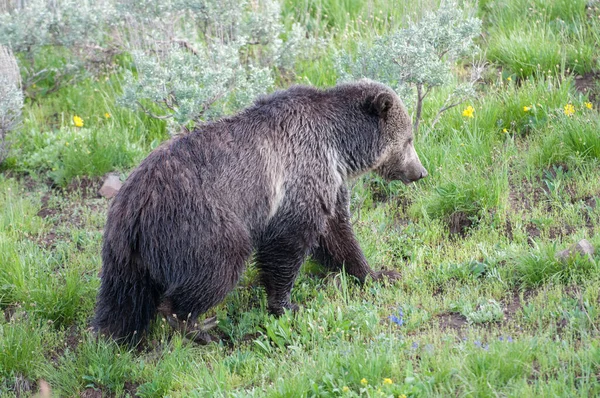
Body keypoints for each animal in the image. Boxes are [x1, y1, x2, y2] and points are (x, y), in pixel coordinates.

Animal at [92, 79, 426, 344]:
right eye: (409, 138)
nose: (420, 172)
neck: (339, 145)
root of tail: (134, 206)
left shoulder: (328, 184)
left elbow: (338, 235)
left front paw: (379, 273)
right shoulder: (298, 178)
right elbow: (287, 245)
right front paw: (286, 305)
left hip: (126, 255)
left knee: (123, 299)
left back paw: (114, 338)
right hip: (198, 220)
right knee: (219, 263)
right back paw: (198, 328)